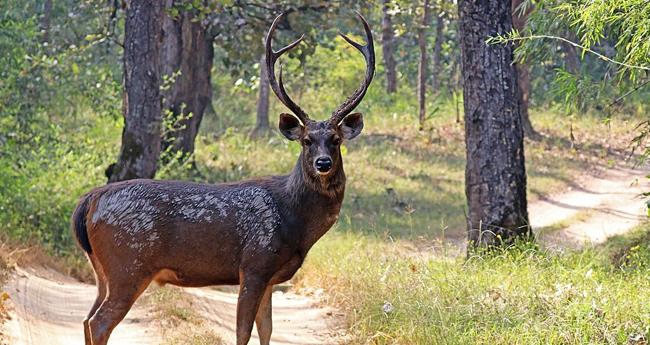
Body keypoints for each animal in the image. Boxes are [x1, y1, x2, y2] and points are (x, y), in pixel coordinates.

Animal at [73, 10, 372, 344]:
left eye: (335, 139)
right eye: (307, 140)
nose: (323, 163)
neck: (295, 222)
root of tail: (90, 200)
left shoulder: (271, 278)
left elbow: (266, 330)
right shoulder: (254, 264)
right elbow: (243, 331)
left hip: (102, 269)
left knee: (86, 319)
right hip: (129, 265)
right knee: (99, 322)